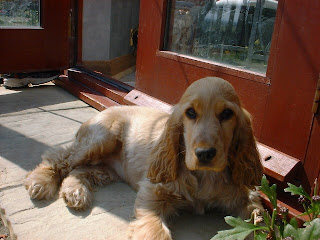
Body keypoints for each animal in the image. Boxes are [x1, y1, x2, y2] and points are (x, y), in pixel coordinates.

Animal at [24, 77, 262, 240]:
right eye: (191, 113)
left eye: (227, 114)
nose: (205, 154)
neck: (204, 177)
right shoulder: (153, 191)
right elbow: (156, 232)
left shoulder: (243, 196)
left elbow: (257, 214)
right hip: (101, 139)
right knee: (59, 157)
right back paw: (40, 181)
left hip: (106, 169)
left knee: (78, 170)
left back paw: (75, 192)